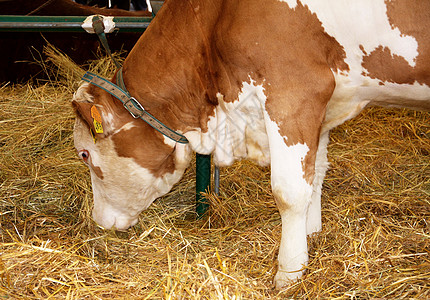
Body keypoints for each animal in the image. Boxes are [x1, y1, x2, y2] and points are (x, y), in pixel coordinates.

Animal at [72, 0, 430, 288]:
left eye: (85, 153)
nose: (98, 219)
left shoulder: (292, 90)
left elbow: (289, 191)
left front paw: (289, 272)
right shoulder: (323, 105)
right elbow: (315, 173)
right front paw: (311, 234)